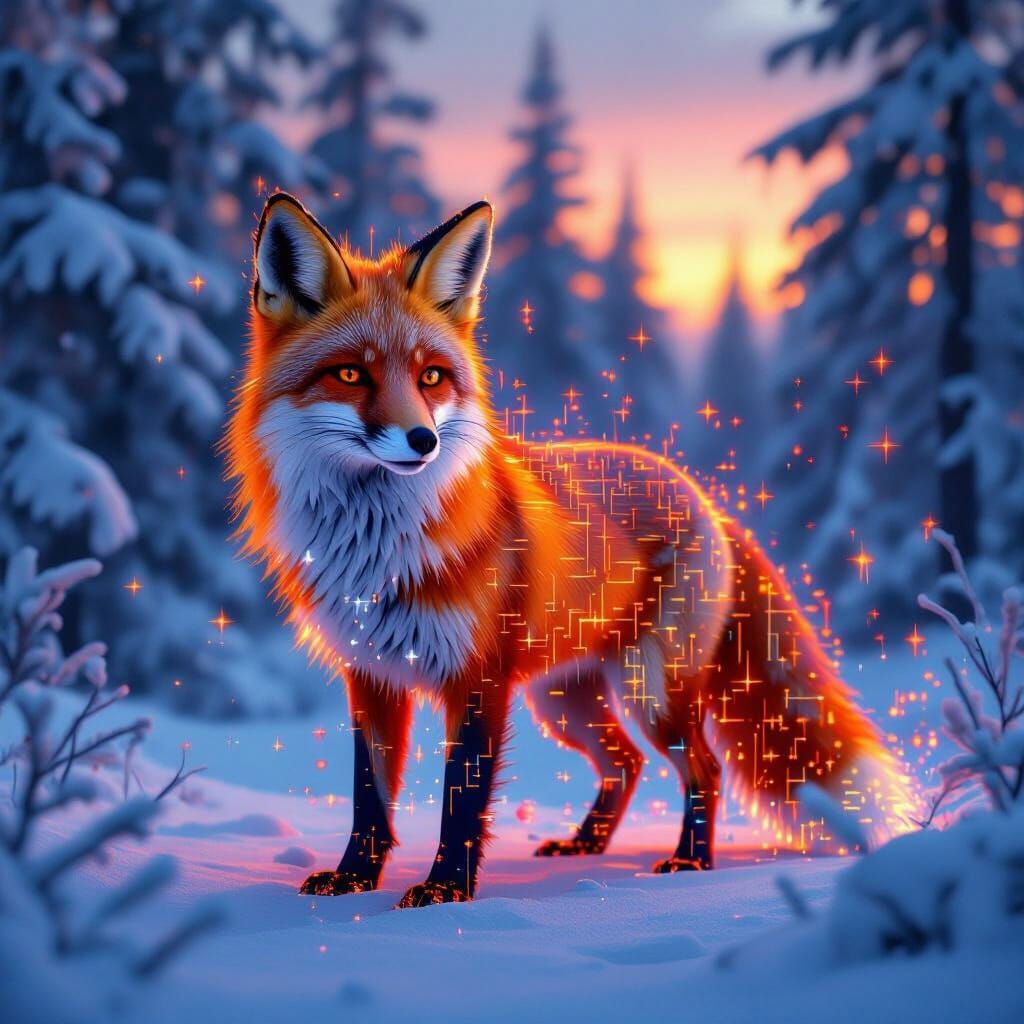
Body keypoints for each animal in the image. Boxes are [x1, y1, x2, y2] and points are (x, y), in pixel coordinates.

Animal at [225, 192, 908, 908]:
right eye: (351, 374)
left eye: (431, 376)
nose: (423, 441)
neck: (379, 551)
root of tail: (698, 490)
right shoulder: (372, 675)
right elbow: (369, 797)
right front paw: (355, 879)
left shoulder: (478, 679)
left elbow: (461, 799)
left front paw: (445, 891)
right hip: (565, 702)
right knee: (626, 762)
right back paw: (586, 847)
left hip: (651, 689)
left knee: (704, 767)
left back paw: (691, 862)